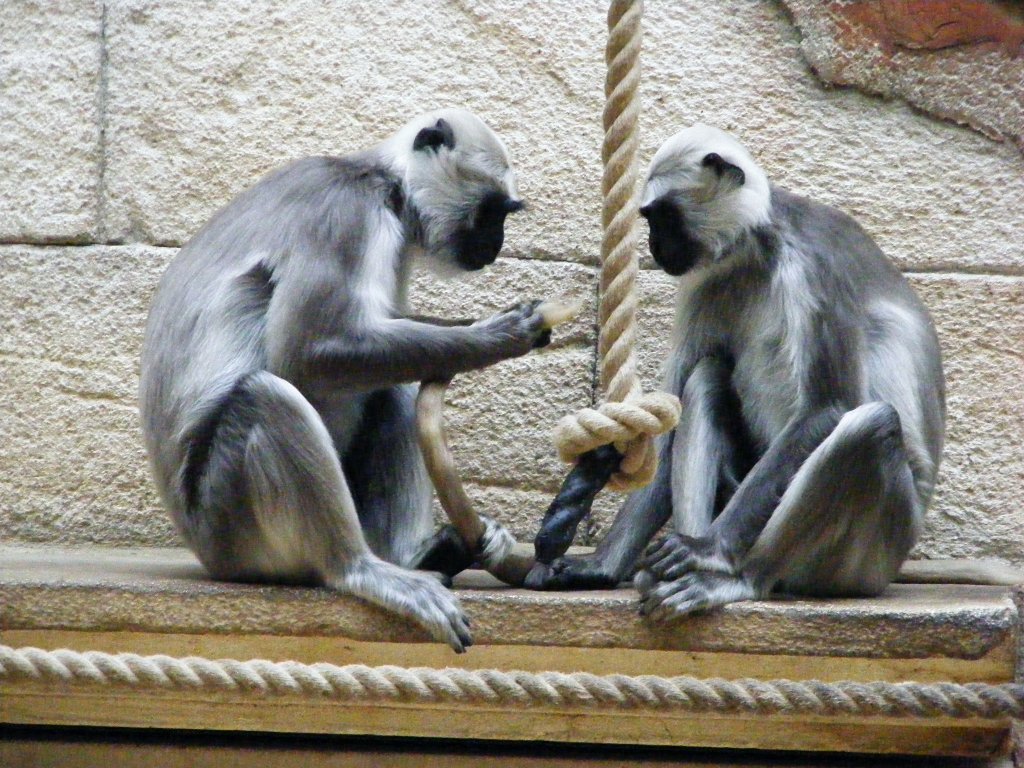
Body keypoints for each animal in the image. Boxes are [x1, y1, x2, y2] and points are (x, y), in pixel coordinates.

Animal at [141, 108, 552, 651]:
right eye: (492, 212)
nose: (497, 244)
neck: (383, 182)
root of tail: (202, 550)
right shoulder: (346, 214)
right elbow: (306, 356)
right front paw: (499, 336)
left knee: (391, 384)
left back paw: (414, 556)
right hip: (227, 520)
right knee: (266, 398)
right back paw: (359, 570)